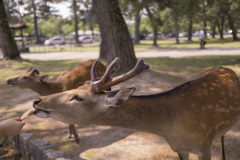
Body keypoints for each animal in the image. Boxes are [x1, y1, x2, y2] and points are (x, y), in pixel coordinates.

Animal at [31, 57, 240, 160]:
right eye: (75, 89)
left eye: (78, 97)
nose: (37, 101)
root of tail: (226, 67)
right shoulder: (179, 148)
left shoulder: (203, 145)